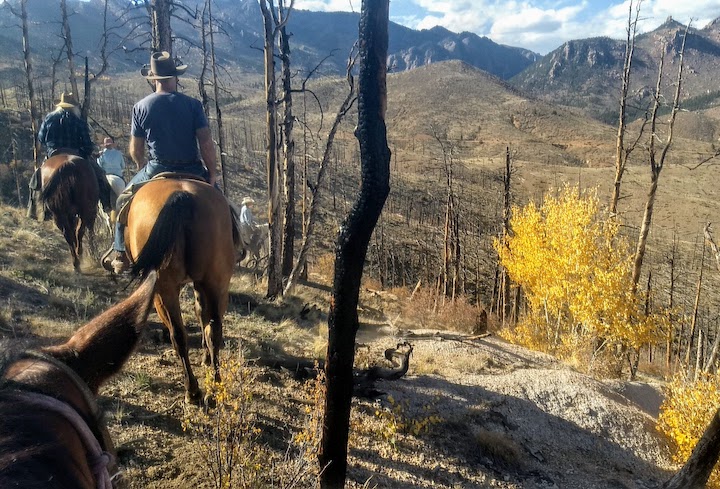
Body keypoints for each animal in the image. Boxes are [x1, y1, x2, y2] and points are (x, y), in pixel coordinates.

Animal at [122, 177, 238, 402]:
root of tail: (182, 195)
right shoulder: (201, 285)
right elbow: (202, 317)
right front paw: (206, 358)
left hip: (163, 289)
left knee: (179, 334)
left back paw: (193, 391)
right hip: (215, 281)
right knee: (210, 330)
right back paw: (213, 388)